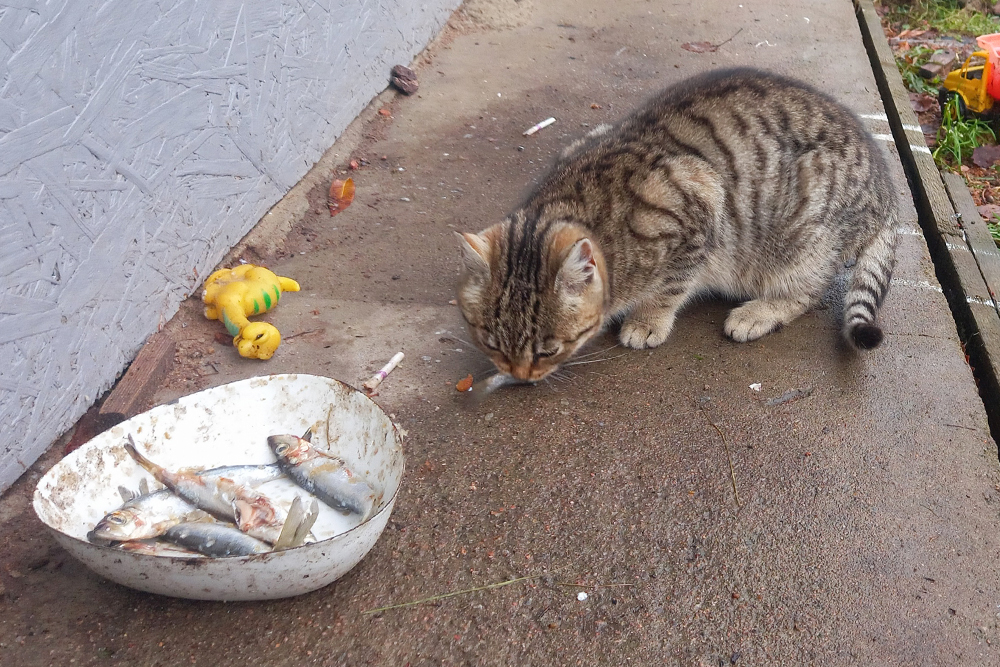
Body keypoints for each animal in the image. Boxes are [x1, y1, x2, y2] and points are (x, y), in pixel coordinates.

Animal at [458, 69, 896, 380]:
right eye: (491, 343)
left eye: (547, 350)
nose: (520, 376)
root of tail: (886, 186)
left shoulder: (701, 204)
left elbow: (670, 285)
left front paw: (647, 321)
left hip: (803, 241)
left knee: (805, 292)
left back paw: (759, 312)